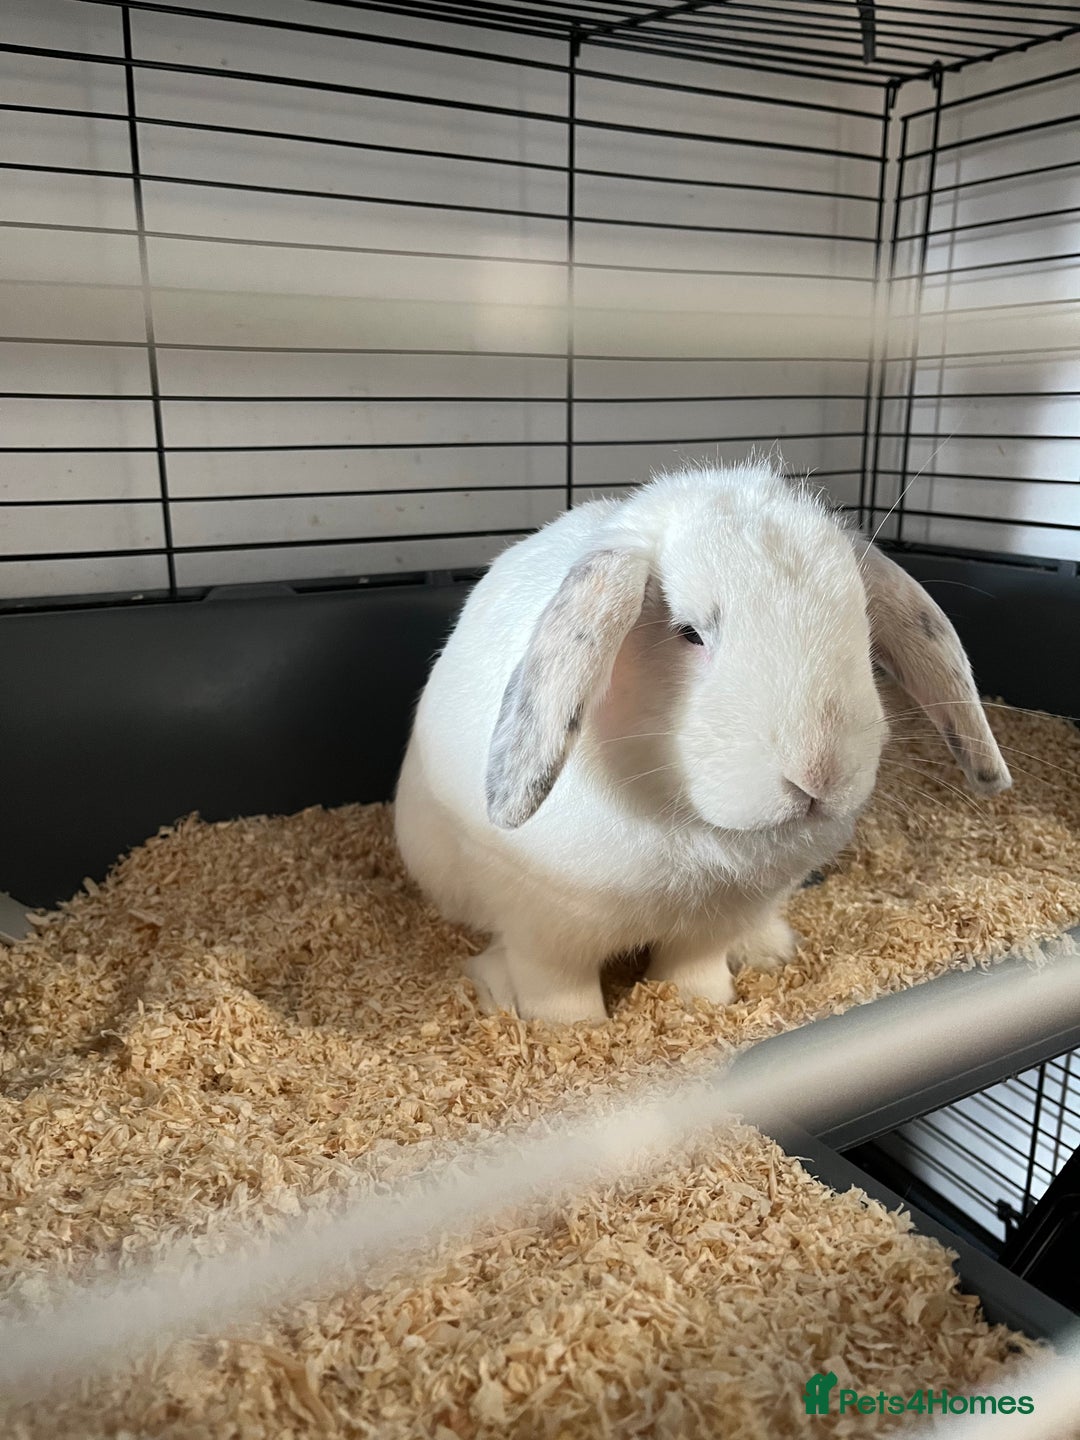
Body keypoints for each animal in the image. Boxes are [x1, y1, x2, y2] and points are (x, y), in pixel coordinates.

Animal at [394, 458, 1011, 1025]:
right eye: (688, 632)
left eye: (861, 623)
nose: (819, 773)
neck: (699, 836)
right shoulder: (545, 930)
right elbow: (558, 990)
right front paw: (571, 1032)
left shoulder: (715, 924)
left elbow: (693, 969)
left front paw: (702, 1006)